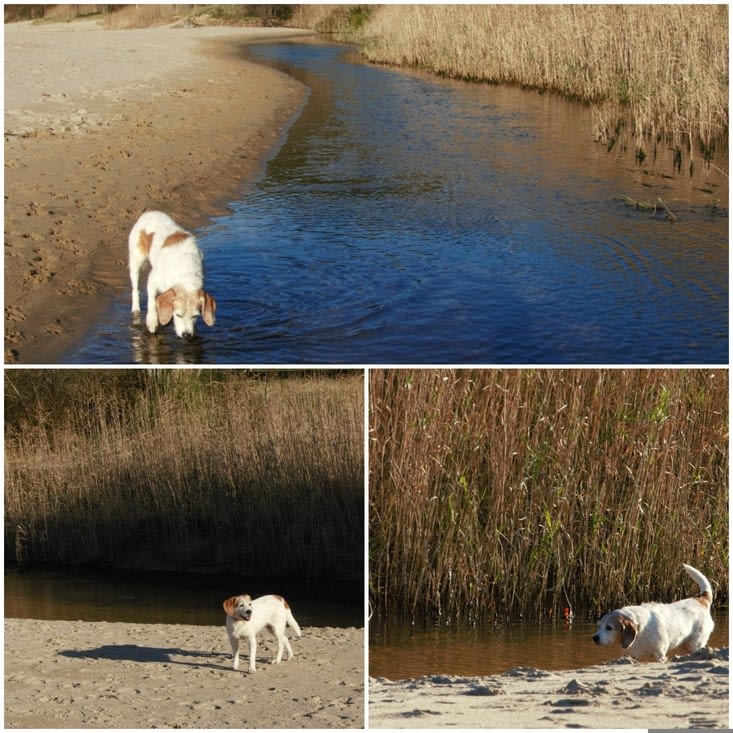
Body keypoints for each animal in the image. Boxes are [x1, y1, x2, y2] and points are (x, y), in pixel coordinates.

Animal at [129, 210, 216, 338]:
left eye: (195, 316)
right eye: (178, 315)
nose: (186, 335)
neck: (185, 272)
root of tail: (150, 213)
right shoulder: (152, 280)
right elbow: (151, 302)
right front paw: (152, 320)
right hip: (135, 262)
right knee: (135, 289)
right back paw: (135, 308)